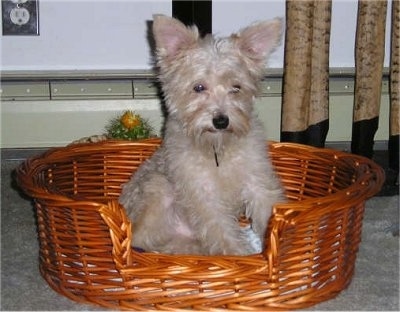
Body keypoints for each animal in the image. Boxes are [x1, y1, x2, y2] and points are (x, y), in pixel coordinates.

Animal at [120, 14, 286, 256]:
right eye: (198, 87)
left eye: (236, 87)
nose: (221, 121)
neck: (217, 148)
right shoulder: (203, 196)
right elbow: (223, 232)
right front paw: (241, 257)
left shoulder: (257, 181)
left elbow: (266, 211)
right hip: (158, 188)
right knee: (143, 240)